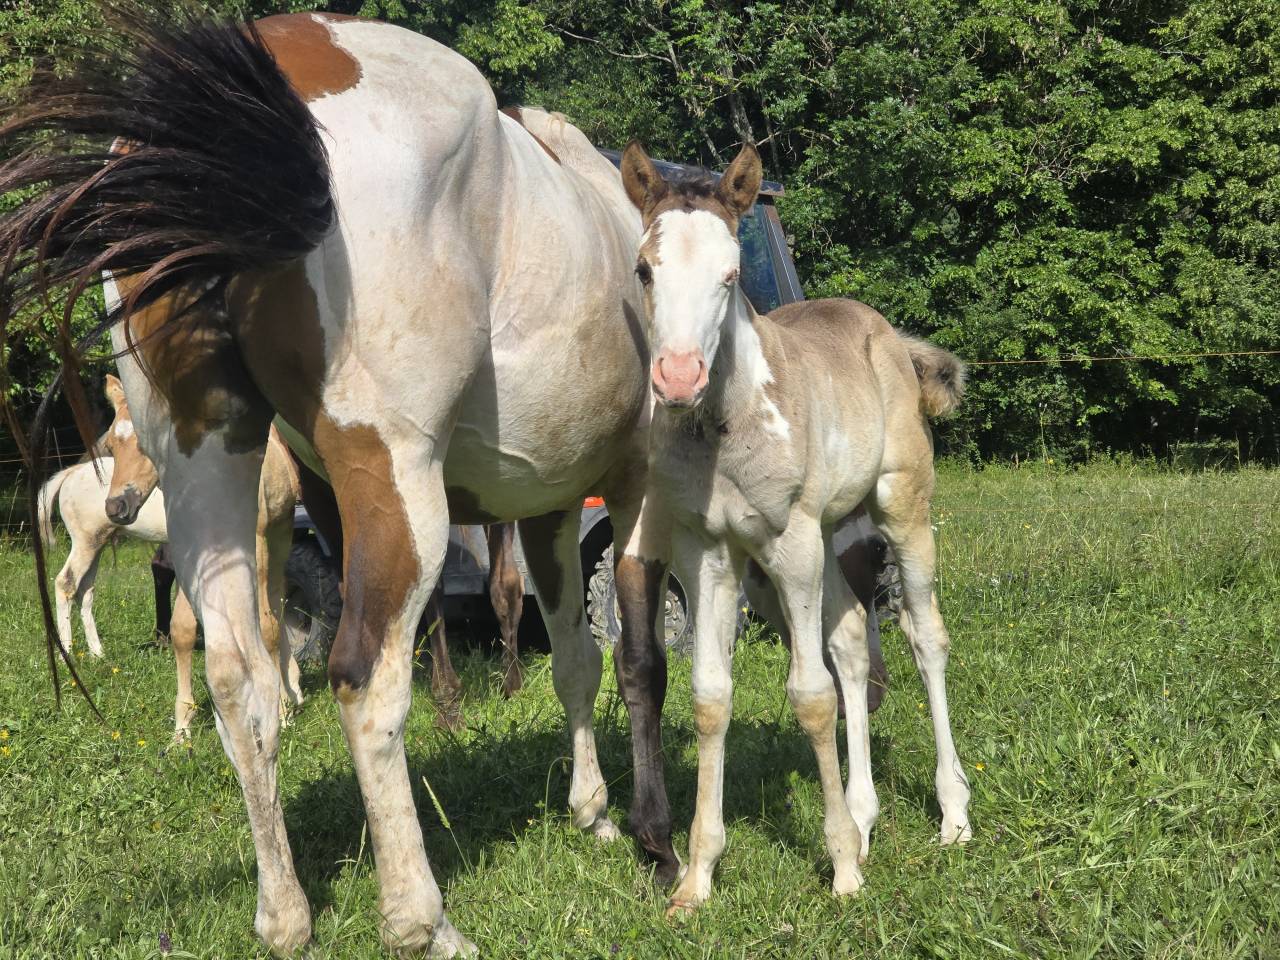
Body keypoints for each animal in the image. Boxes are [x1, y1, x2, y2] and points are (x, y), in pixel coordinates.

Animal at [619, 141, 973, 913]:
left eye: (729, 275)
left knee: (926, 640)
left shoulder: (790, 545)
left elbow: (811, 698)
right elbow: (711, 699)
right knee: (853, 644)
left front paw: (840, 870)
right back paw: (867, 819)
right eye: (644, 269)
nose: (679, 377)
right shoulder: (709, 555)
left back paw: (953, 814)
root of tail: (887, 334)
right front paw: (696, 877)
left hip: (894, 510)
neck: (728, 426)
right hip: (831, 538)